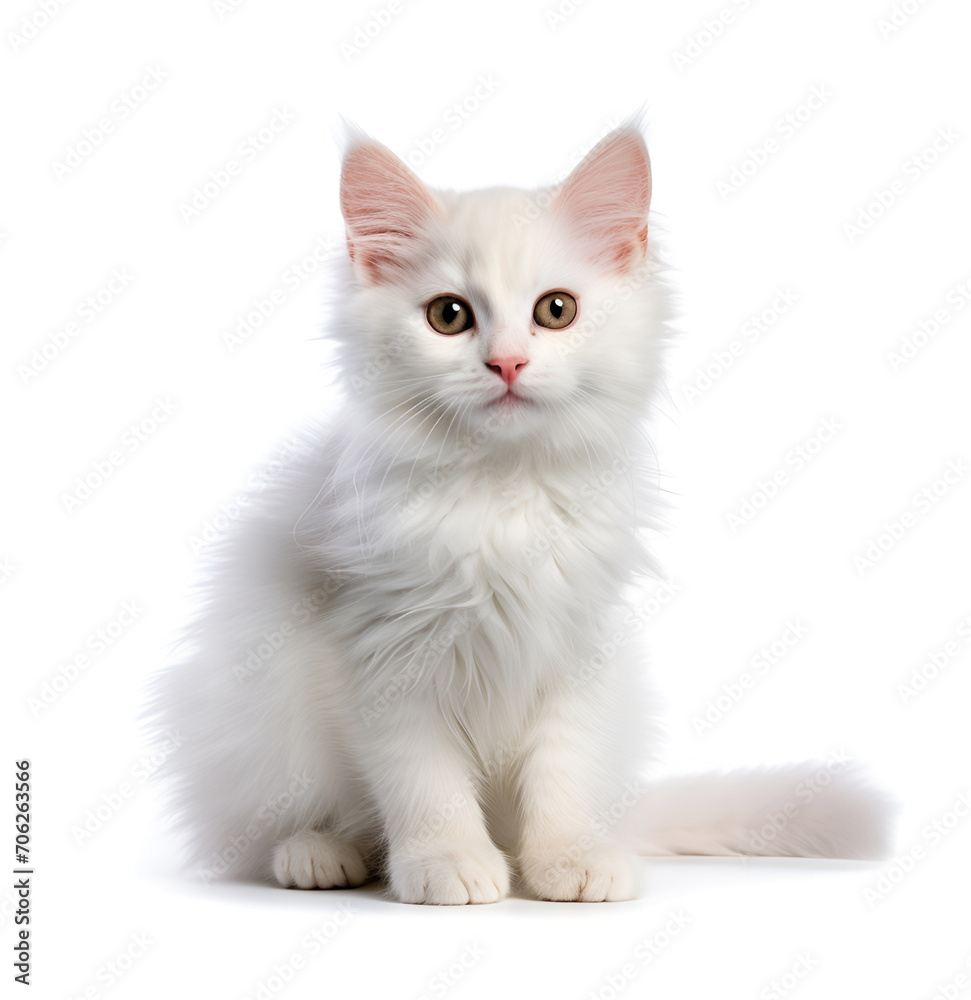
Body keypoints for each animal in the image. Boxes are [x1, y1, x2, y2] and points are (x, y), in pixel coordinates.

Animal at [146, 121, 896, 904]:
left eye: (554, 310)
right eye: (449, 315)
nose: (506, 363)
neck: (503, 494)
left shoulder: (576, 647)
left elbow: (562, 772)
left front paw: (568, 858)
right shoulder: (379, 654)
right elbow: (424, 781)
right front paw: (446, 861)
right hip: (265, 718)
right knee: (292, 823)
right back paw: (321, 854)